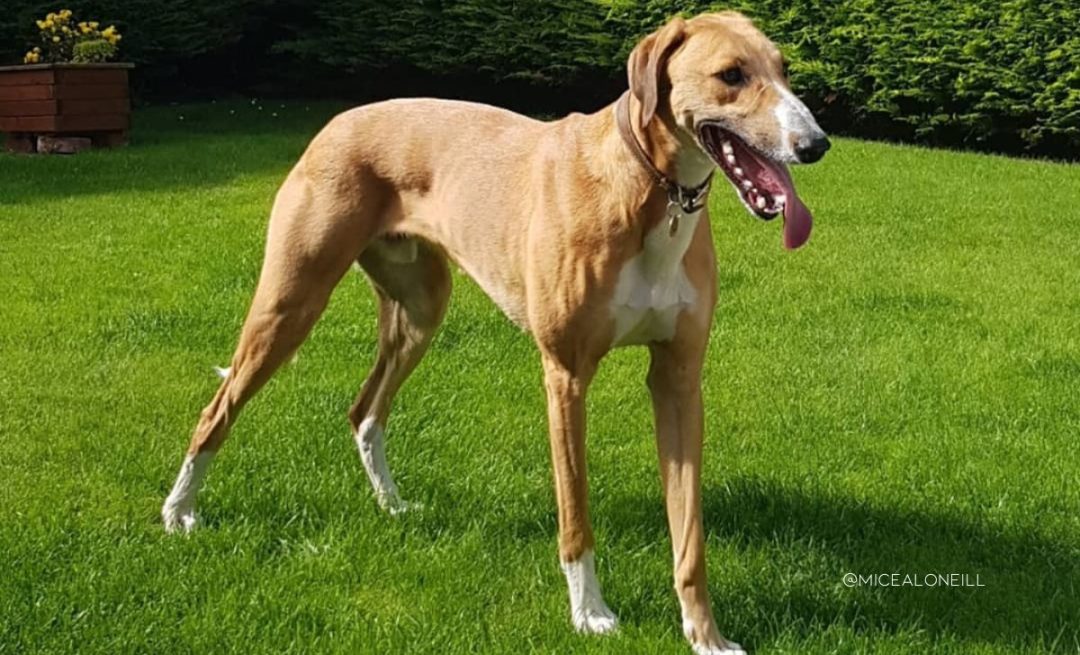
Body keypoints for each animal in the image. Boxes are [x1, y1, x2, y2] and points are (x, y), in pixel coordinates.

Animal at [164, 11, 829, 655]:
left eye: (785, 69)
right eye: (731, 74)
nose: (816, 143)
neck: (648, 194)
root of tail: (337, 120)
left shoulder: (679, 378)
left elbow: (689, 533)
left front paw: (705, 635)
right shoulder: (565, 375)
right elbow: (575, 515)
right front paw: (590, 613)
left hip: (420, 310)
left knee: (365, 410)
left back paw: (392, 503)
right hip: (290, 302)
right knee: (217, 409)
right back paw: (179, 512)